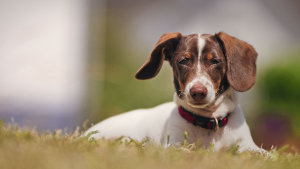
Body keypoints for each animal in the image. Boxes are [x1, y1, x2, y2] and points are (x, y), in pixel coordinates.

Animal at [84, 32, 264, 152]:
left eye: (215, 61)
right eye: (183, 61)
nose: (198, 91)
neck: (208, 122)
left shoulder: (246, 144)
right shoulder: (173, 144)